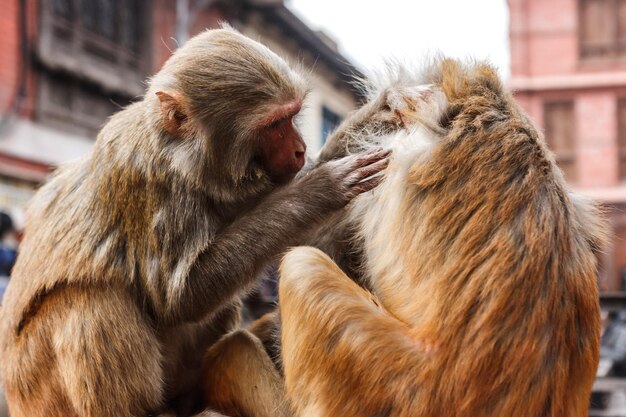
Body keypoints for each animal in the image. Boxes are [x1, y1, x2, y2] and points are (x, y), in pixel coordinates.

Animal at [0, 26, 390, 416]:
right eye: (275, 125)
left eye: (292, 116)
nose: (300, 149)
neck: (181, 155)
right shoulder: (147, 179)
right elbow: (181, 296)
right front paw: (321, 188)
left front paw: (379, 113)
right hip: (42, 391)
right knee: (91, 297)